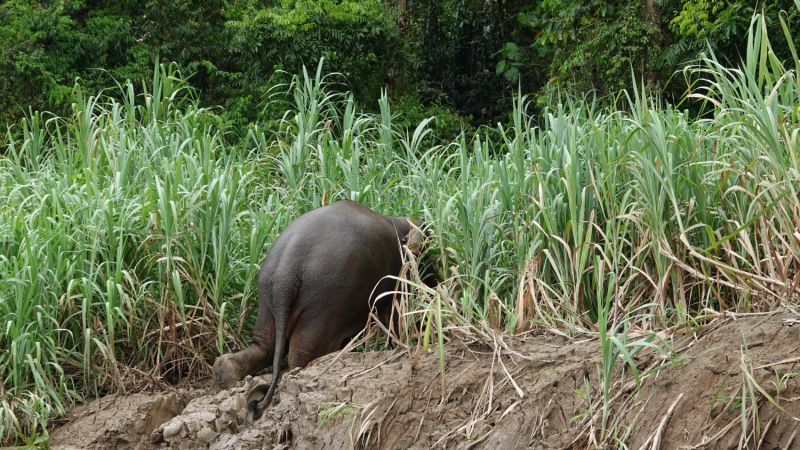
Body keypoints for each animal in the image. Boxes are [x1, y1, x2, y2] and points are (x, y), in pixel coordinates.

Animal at [212, 200, 438, 418]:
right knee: (301, 358)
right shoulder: (396, 277)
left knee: (265, 346)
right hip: (325, 301)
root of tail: (286, 272)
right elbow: (396, 317)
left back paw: (226, 374)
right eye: (430, 250)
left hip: (268, 291)